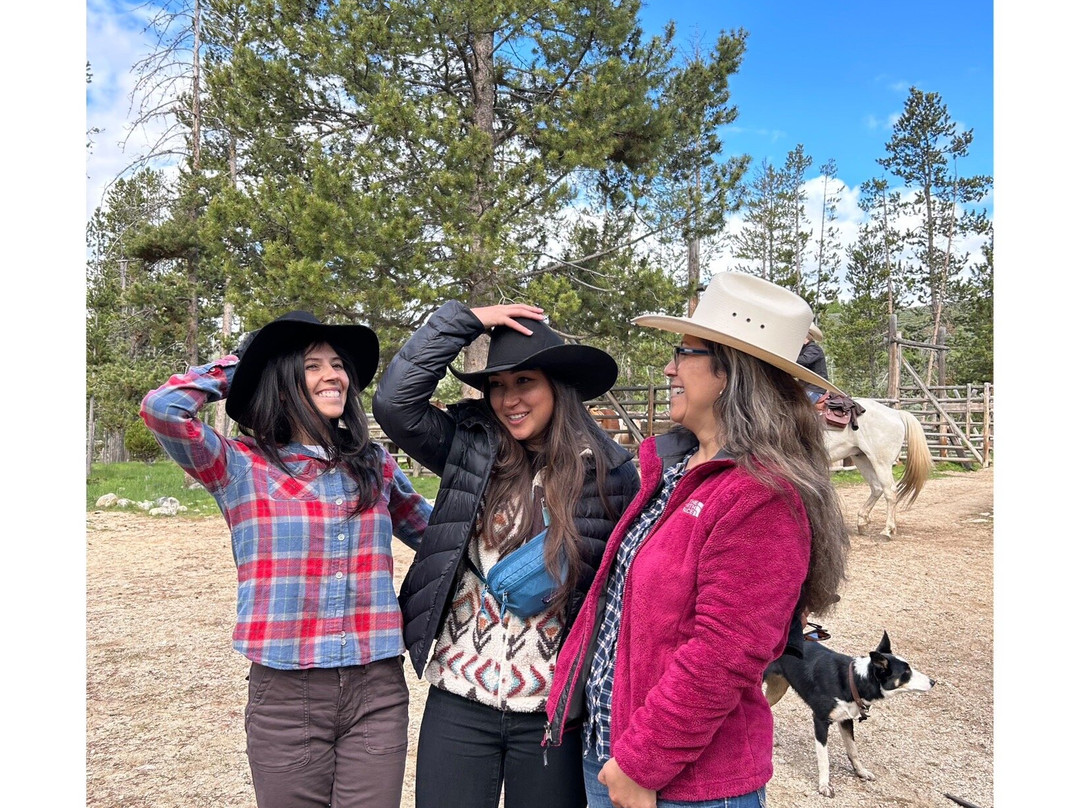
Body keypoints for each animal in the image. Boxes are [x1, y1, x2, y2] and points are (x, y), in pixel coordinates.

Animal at [760, 630, 937, 795]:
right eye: (906, 673)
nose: (933, 682)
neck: (853, 680)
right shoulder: (820, 720)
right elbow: (824, 758)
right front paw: (824, 784)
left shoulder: (845, 719)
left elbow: (853, 750)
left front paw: (861, 772)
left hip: (778, 689)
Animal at [820, 401, 933, 540]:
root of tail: (896, 413)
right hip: (862, 458)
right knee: (877, 487)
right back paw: (863, 522)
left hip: (881, 463)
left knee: (889, 491)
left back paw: (887, 530)